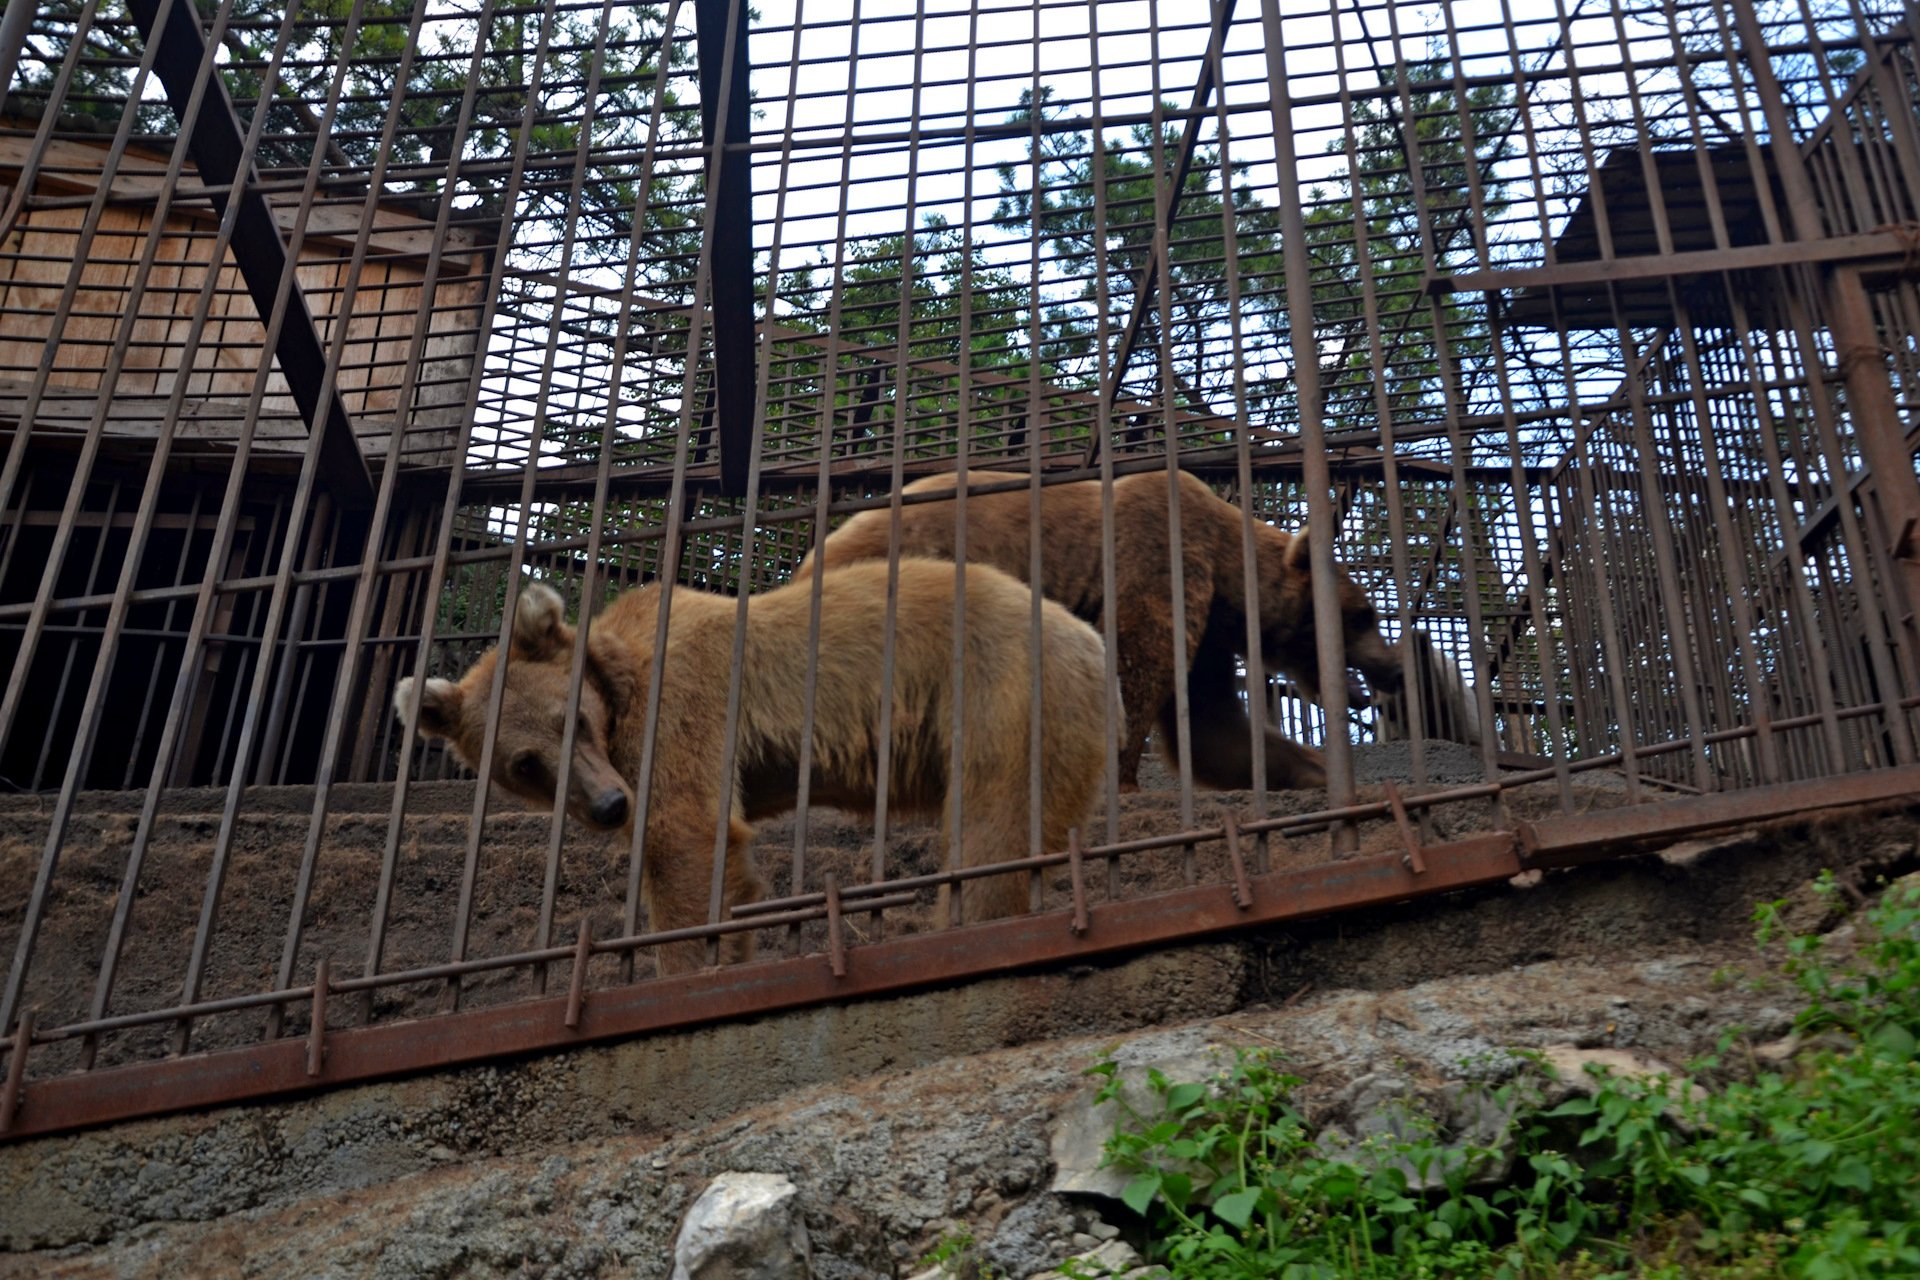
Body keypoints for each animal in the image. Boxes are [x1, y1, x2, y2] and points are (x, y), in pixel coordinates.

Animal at [391, 556, 1113, 971]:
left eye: (572, 721)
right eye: (524, 765)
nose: (609, 805)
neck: (618, 678)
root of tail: (1085, 636)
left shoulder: (683, 701)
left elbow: (686, 837)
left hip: (1004, 693)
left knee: (996, 829)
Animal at [802, 470, 1405, 790]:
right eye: (1366, 615)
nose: (1395, 669)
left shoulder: (1208, 631)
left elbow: (1214, 727)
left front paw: (1316, 769)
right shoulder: (1158, 556)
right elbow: (1135, 666)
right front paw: (1122, 779)